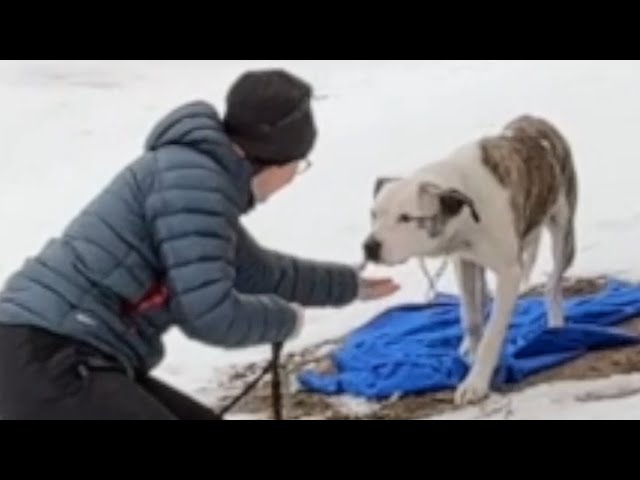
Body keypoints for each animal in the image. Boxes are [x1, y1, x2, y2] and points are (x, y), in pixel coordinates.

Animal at [364, 116, 580, 404]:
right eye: (374, 214)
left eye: (406, 217)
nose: (369, 247)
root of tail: (535, 119)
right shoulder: (463, 261)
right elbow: (471, 317)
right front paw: (471, 353)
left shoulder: (509, 272)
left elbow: (493, 332)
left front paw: (476, 382)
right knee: (484, 297)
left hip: (563, 235)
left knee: (552, 286)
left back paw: (556, 327)